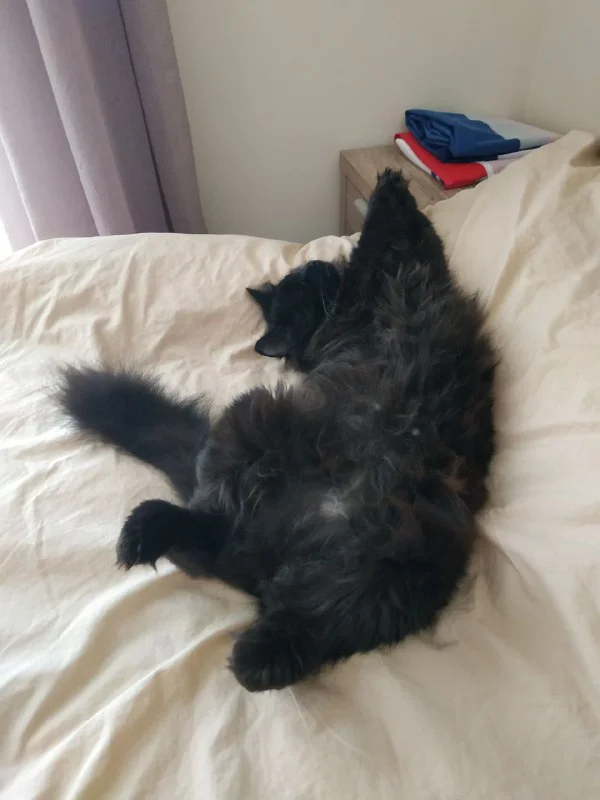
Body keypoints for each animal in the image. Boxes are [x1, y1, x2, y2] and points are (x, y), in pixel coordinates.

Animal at [57, 170, 496, 692]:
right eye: (301, 286)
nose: (316, 265)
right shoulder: (375, 287)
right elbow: (387, 241)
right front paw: (389, 189)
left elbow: (405, 239)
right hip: (251, 427)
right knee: (209, 530)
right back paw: (144, 534)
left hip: (401, 572)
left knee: (301, 617)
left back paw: (255, 654)